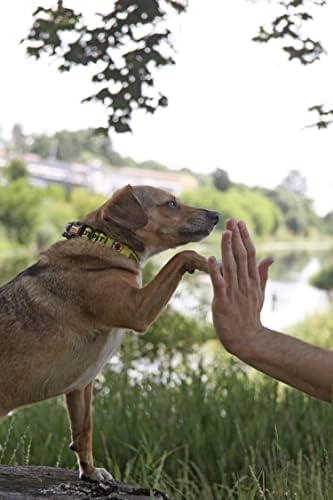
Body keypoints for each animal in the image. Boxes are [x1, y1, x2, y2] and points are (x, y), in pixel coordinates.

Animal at [0, 185, 218, 480]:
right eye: (171, 203)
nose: (216, 215)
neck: (107, 243)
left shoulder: (81, 387)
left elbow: (83, 431)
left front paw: (90, 472)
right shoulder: (137, 310)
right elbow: (182, 256)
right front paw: (209, 262)